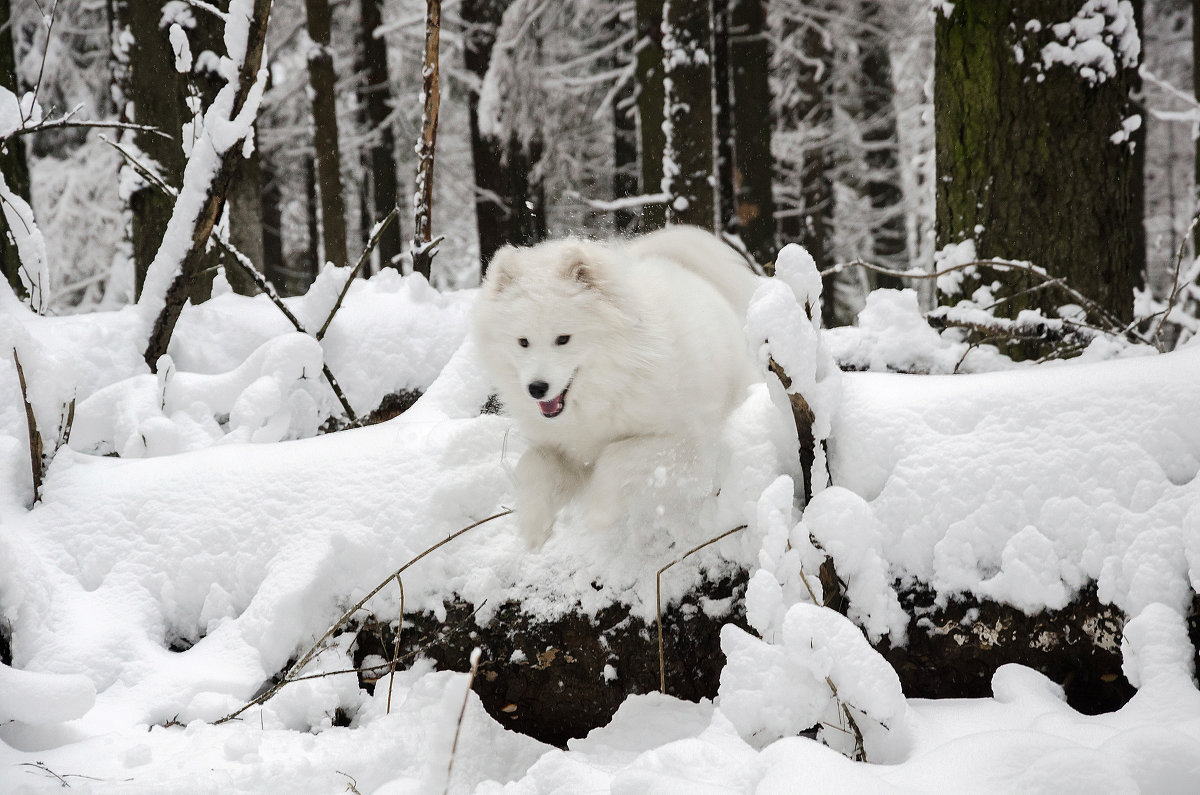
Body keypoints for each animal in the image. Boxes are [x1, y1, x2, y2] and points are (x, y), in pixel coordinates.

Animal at [468, 224, 758, 547]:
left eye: (563, 339)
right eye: (523, 342)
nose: (537, 388)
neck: (604, 387)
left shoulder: (682, 441)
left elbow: (614, 459)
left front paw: (599, 513)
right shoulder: (567, 450)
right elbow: (532, 463)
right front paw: (534, 526)